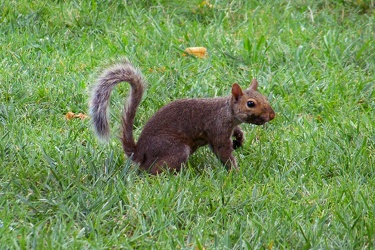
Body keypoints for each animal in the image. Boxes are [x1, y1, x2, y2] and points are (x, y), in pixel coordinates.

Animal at [89, 60, 274, 174]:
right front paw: (235, 172)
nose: (272, 115)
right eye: (250, 104)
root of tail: (139, 152)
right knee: (151, 170)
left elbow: (237, 131)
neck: (227, 111)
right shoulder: (217, 128)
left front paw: (240, 138)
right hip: (176, 150)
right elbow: (223, 151)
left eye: (265, 97)